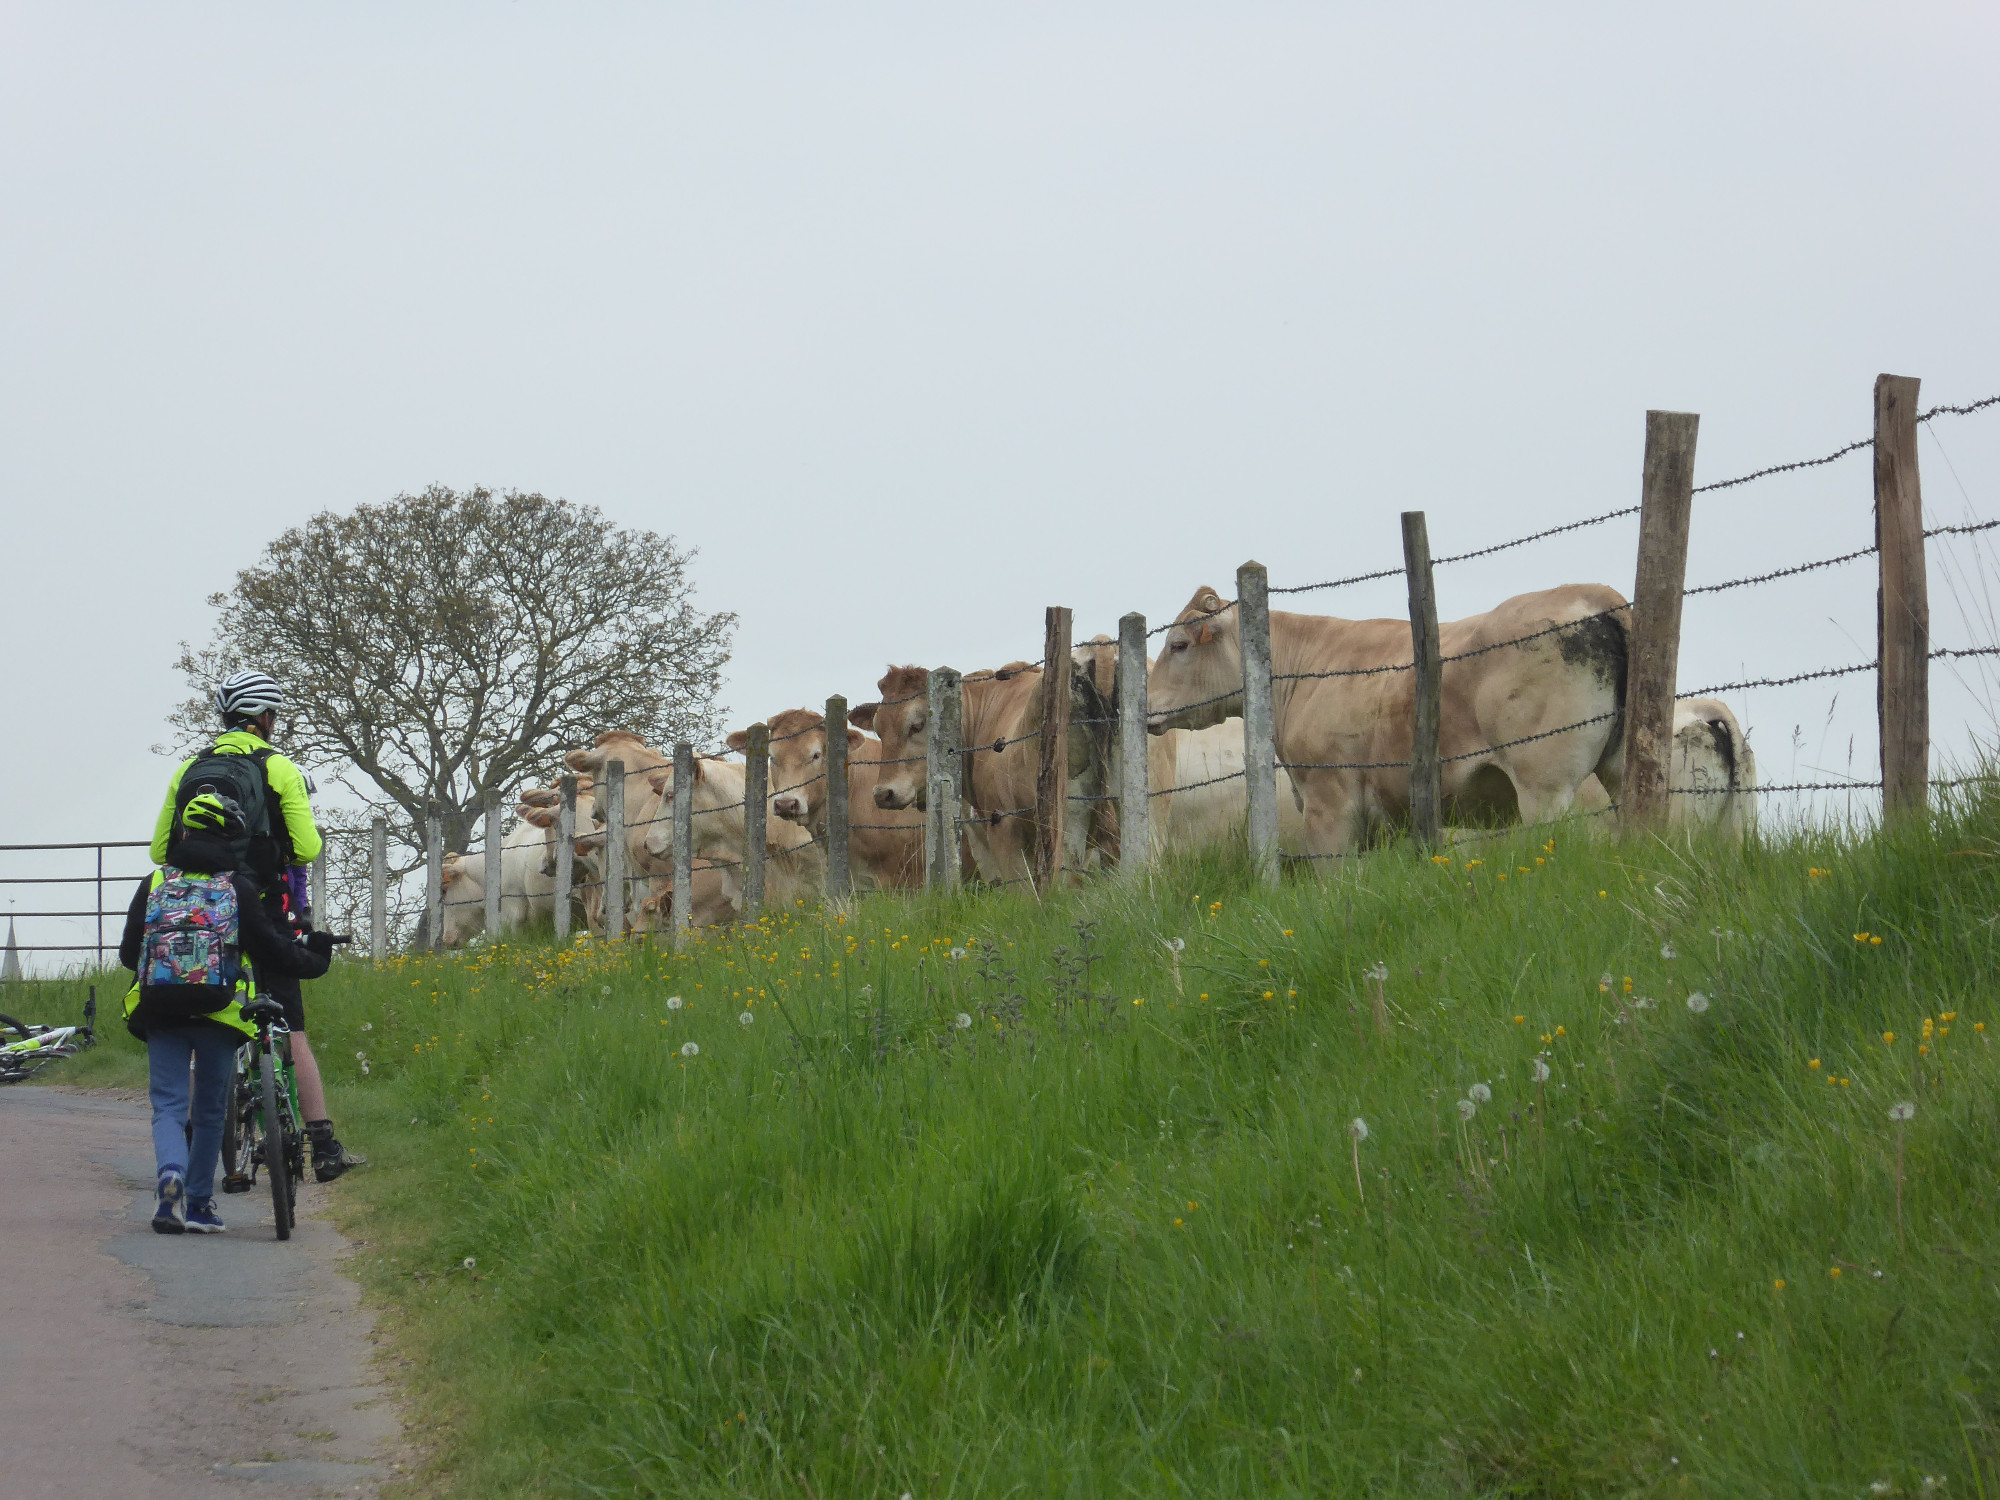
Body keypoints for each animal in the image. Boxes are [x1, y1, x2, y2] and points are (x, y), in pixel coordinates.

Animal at [1147, 582, 1631, 857]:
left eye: (1178, 645)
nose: (1145, 703)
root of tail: (1590, 592)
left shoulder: (1330, 803)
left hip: (1545, 787)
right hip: (1619, 767)